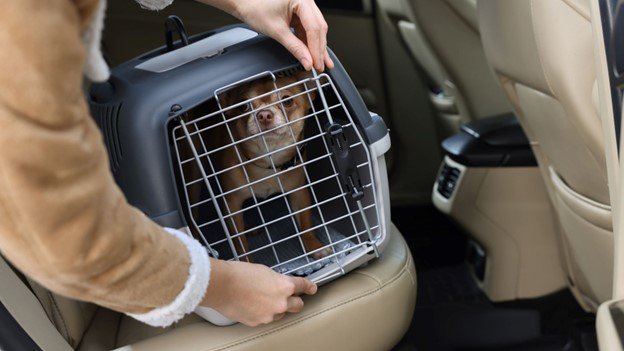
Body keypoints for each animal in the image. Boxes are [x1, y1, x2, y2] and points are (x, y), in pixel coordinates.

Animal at [217, 73, 332, 262]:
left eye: (287, 101)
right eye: (243, 106)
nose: (264, 114)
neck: (268, 161)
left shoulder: (299, 192)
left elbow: (306, 223)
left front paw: (315, 247)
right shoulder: (231, 204)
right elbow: (239, 241)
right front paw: (247, 262)